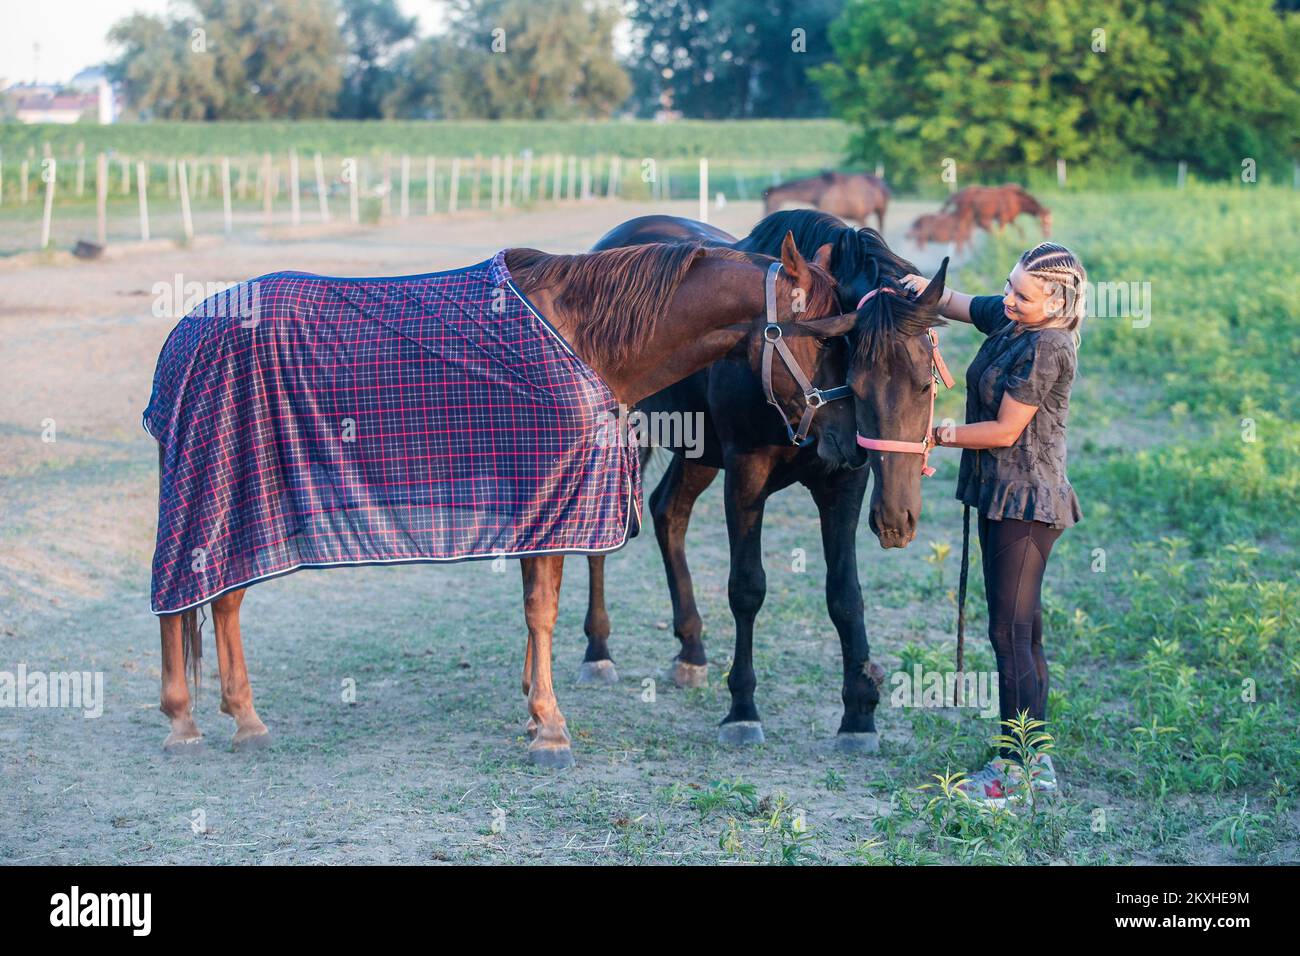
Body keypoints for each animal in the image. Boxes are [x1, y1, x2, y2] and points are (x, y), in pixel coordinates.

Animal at [154, 234, 863, 770]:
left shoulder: (546, 505)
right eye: (824, 337)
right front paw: (550, 728)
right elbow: (542, 610)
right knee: (189, 596)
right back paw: (190, 722)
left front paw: (531, 710)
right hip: (221, 487)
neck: (584, 340)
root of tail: (185, 335)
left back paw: (234, 720)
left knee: (220, 600)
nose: (844, 444)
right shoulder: (554, 496)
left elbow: (535, 607)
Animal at [587, 210, 946, 754]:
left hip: (699, 452)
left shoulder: (845, 483)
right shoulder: (745, 473)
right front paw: (742, 708)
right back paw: (598, 649)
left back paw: (691, 650)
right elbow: (747, 587)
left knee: (668, 511)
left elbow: (845, 595)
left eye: (925, 384)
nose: (895, 520)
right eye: (858, 381)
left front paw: (859, 714)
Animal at [759, 171, 894, 231]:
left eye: (768, 202)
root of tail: (882, 182)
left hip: (881, 212)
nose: (764, 215)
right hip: (862, 216)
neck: (820, 190)